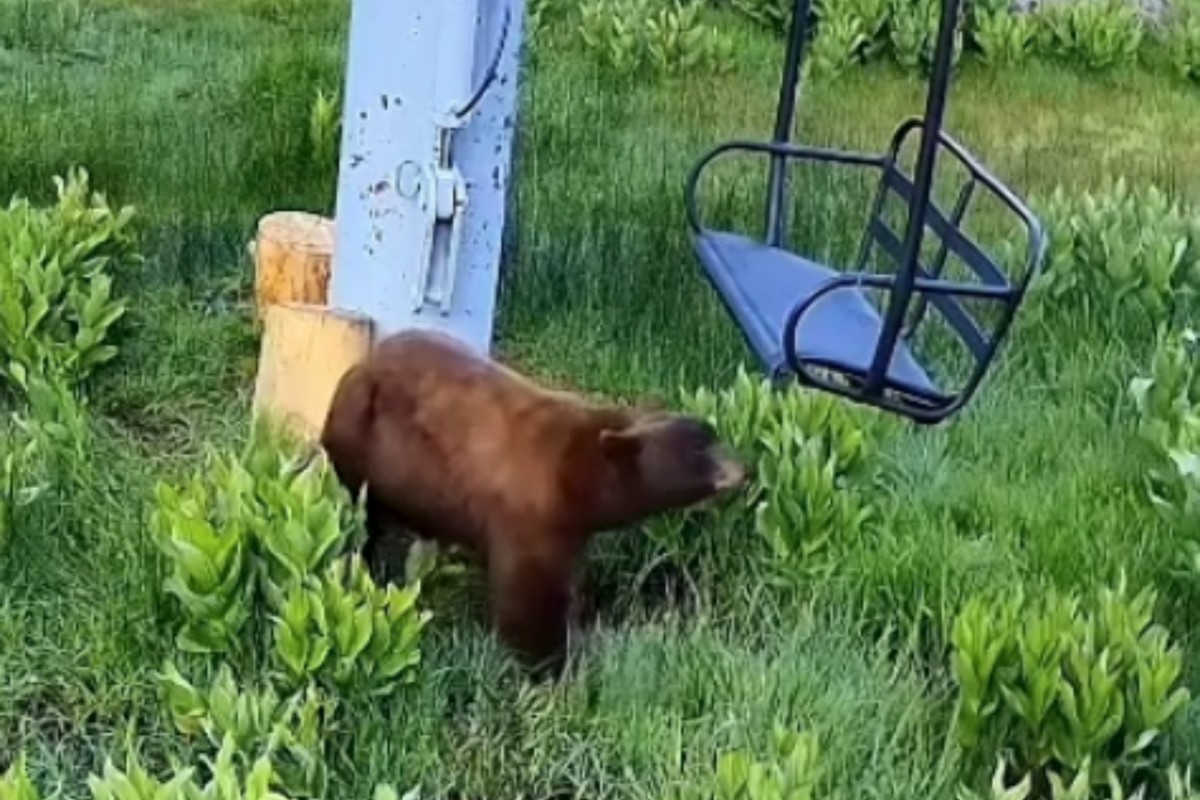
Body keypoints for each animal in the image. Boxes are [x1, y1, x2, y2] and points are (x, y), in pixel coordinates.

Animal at [319, 328, 749, 677]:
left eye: (713, 435)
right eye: (699, 450)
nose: (744, 469)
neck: (578, 474)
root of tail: (359, 365)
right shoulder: (531, 513)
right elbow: (530, 596)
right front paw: (553, 666)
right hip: (359, 446)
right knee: (363, 516)